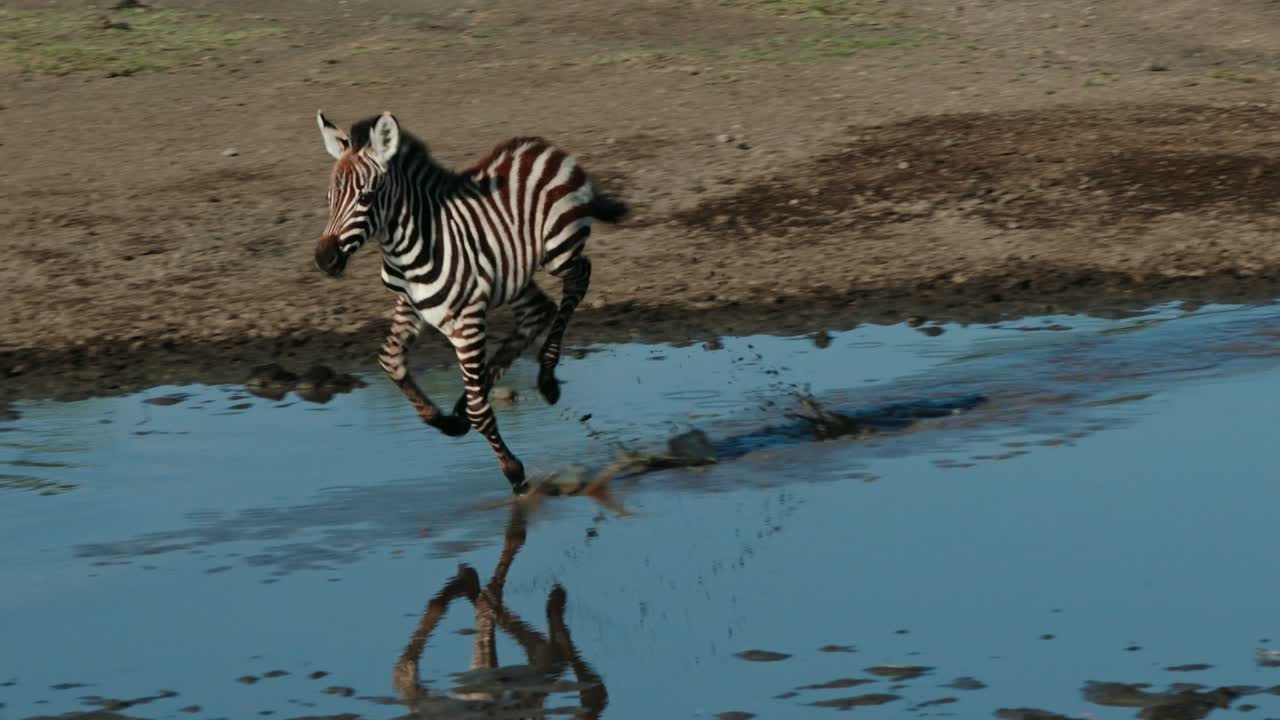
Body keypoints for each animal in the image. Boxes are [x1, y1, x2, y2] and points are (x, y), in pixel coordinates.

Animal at [314, 110, 628, 494]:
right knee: (537, 312)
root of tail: (543, 145)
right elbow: (390, 362)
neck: (408, 248)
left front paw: (513, 472)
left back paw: (547, 378)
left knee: (579, 278)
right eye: (329, 197)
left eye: (367, 197)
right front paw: (448, 421)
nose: (325, 259)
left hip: (559, 250)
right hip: (513, 273)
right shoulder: (411, 306)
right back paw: (473, 399)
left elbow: (481, 409)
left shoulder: (467, 319)